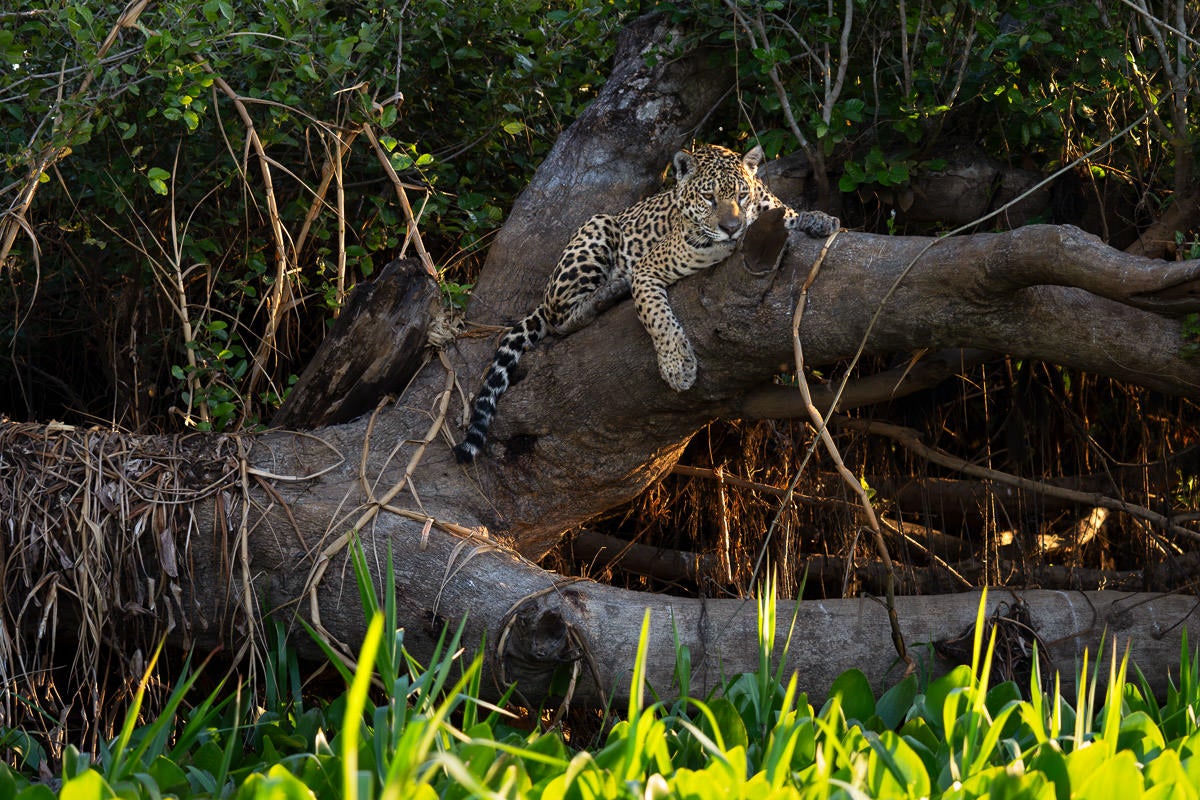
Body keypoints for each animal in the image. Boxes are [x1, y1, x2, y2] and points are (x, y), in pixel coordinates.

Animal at [453, 143, 839, 463]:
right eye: (709, 197)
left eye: (742, 195)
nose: (731, 227)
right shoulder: (648, 269)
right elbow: (659, 318)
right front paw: (677, 366)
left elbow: (790, 214)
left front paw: (821, 219)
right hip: (597, 227)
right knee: (559, 317)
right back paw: (608, 294)